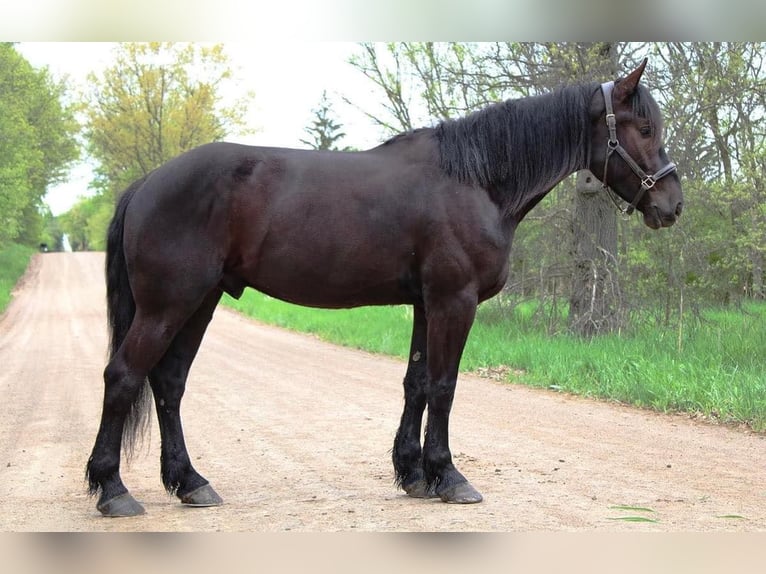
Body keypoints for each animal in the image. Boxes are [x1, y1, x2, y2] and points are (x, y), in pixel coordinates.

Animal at [85, 58, 684, 516]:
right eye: (645, 129)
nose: (672, 205)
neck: (476, 182)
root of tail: (148, 182)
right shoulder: (454, 302)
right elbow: (444, 386)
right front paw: (450, 477)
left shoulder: (425, 304)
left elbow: (415, 384)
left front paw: (413, 474)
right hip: (168, 305)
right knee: (123, 377)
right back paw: (113, 490)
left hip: (200, 302)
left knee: (168, 384)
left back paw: (191, 483)